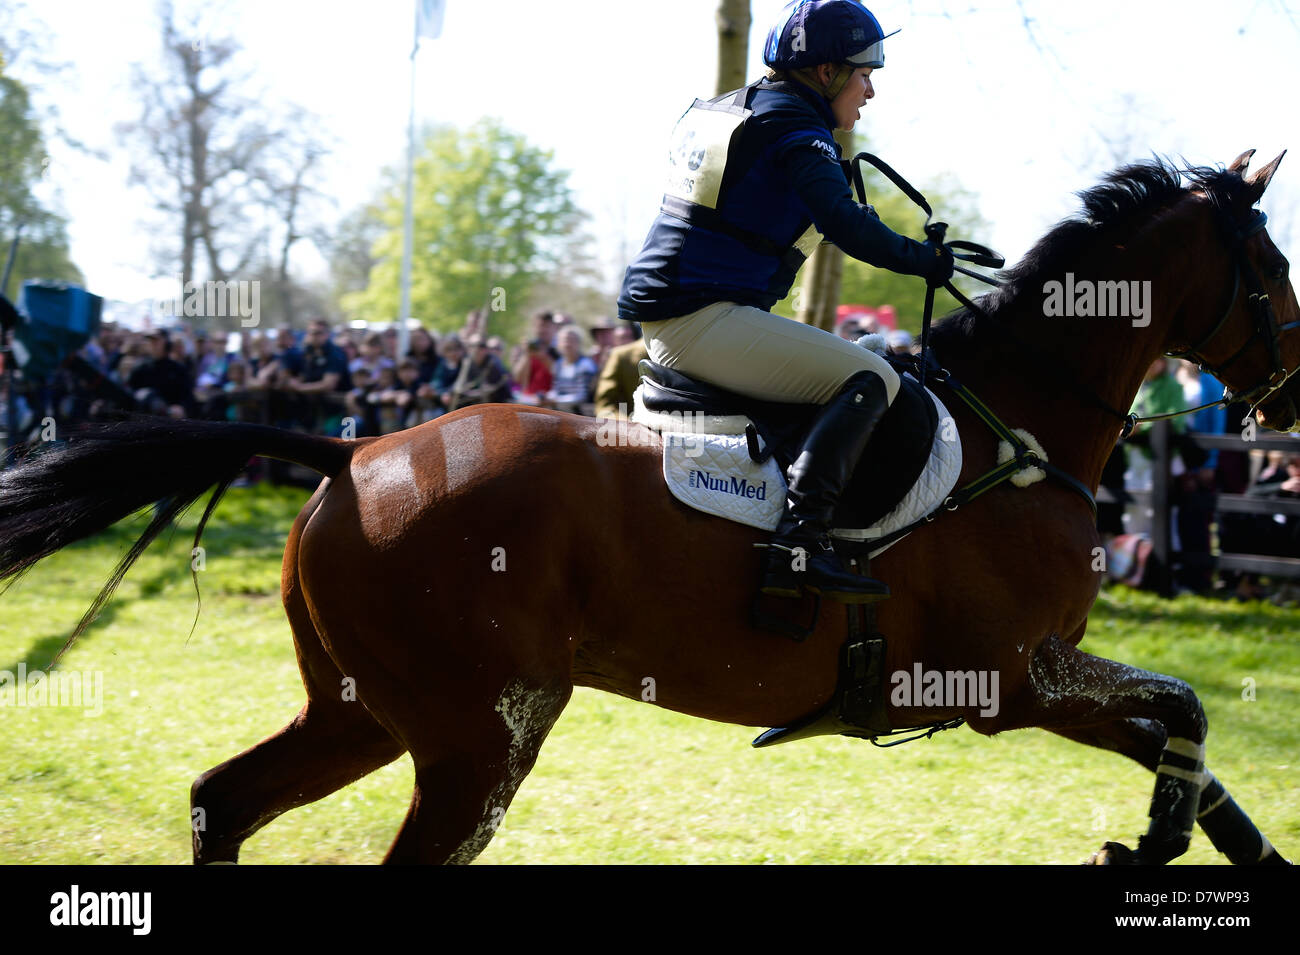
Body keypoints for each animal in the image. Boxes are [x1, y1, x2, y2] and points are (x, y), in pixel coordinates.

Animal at [0, 151, 1294, 867]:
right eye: (1272, 266)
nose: (1291, 379)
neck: (1017, 432)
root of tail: (353, 449)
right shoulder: (1010, 681)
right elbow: (1181, 709)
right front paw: (1158, 837)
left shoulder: (1034, 681)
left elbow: (1181, 735)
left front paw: (1189, 838)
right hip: (480, 736)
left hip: (367, 713)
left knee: (223, 800)